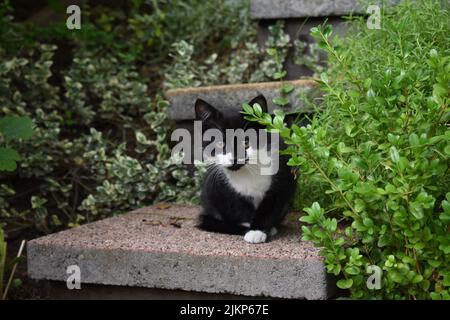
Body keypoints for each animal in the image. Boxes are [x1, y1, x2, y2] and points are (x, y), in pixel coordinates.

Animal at [193, 94, 296, 244]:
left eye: (246, 142)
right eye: (220, 144)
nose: (235, 158)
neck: (246, 173)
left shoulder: (282, 180)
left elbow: (270, 206)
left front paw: (257, 231)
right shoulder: (222, 190)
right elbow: (237, 209)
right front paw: (249, 228)